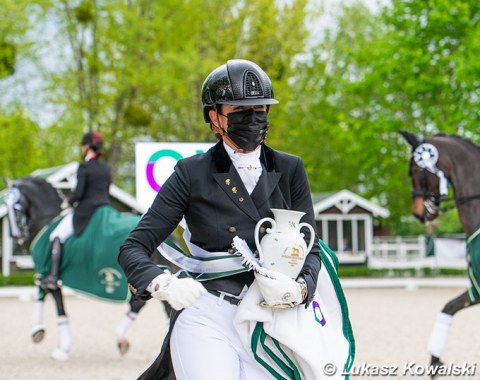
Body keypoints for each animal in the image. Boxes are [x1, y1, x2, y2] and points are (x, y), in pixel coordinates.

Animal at [3, 178, 172, 362]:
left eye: (16, 205)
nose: (16, 235)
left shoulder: (48, 273)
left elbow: (57, 304)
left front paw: (57, 345)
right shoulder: (44, 271)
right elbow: (41, 294)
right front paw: (40, 332)